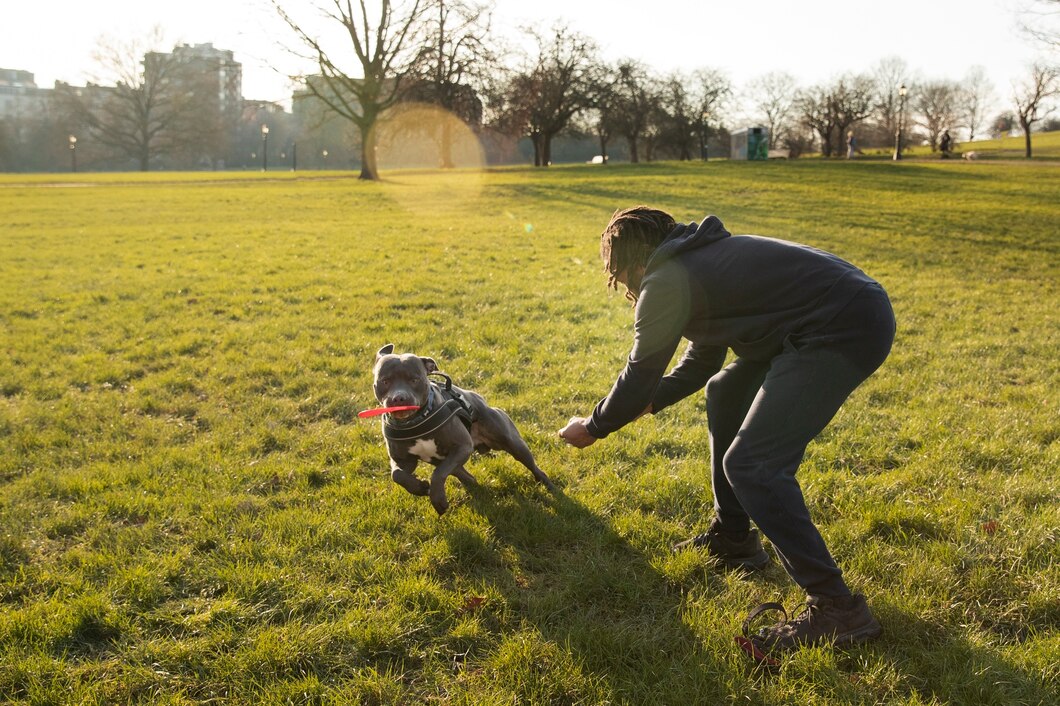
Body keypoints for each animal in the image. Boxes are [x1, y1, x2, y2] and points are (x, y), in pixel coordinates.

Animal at [370, 343, 555, 515]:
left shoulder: (462, 446)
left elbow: (437, 474)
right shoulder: (403, 460)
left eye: (414, 380)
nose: (399, 398)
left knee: (532, 465)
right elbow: (397, 475)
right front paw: (420, 488)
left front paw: (438, 500)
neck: (416, 421)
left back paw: (550, 486)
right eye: (385, 381)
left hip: (512, 442)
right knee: (463, 474)